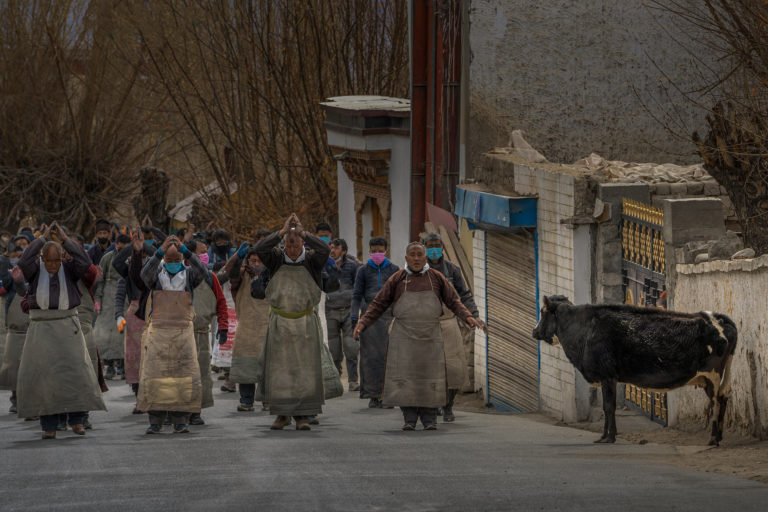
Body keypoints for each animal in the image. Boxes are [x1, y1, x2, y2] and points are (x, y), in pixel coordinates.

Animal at [528, 296, 736, 444]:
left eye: (543, 312)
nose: (534, 331)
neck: (584, 330)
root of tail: (715, 318)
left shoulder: (607, 376)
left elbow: (608, 407)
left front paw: (608, 437)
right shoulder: (609, 378)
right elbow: (608, 407)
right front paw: (607, 435)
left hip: (713, 376)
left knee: (717, 402)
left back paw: (713, 439)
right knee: (724, 398)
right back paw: (718, 437)